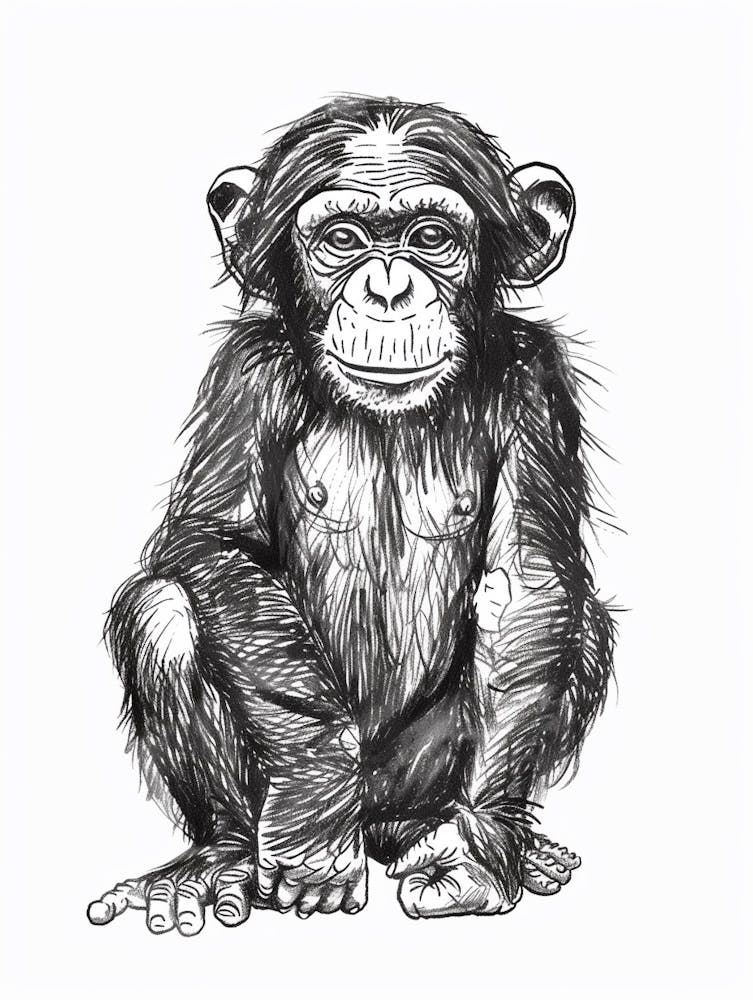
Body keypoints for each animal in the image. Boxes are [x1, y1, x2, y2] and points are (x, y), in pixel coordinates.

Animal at [88, 96, 614, 933]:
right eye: (341, 240)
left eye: (430, 238)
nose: (389, 292)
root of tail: (382, 824)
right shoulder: (246, 373)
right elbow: (214, 541)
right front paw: (311, 811)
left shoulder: (534, 378)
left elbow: (525, 578)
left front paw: (473, 861)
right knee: (162, 609)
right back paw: (218, 860)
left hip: (419, 777)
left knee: (581, 621)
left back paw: (504, 845)